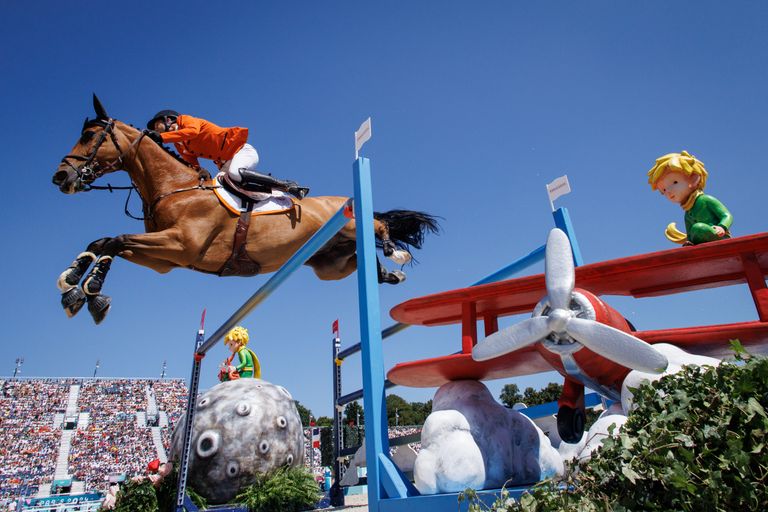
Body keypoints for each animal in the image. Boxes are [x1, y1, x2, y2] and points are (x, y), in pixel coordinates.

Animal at [52, 96, 438, 324]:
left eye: (89, 136)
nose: (61, 177)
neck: (174, 188)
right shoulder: (164, 259)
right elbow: (104, 242)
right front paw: (75, 286)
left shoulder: (180, 244)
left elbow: (115, 240)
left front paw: (89, 292)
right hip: (330, 264)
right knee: (361, 261)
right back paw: (387, 274)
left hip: (347, 225)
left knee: (377, 225)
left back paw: (393, 252)